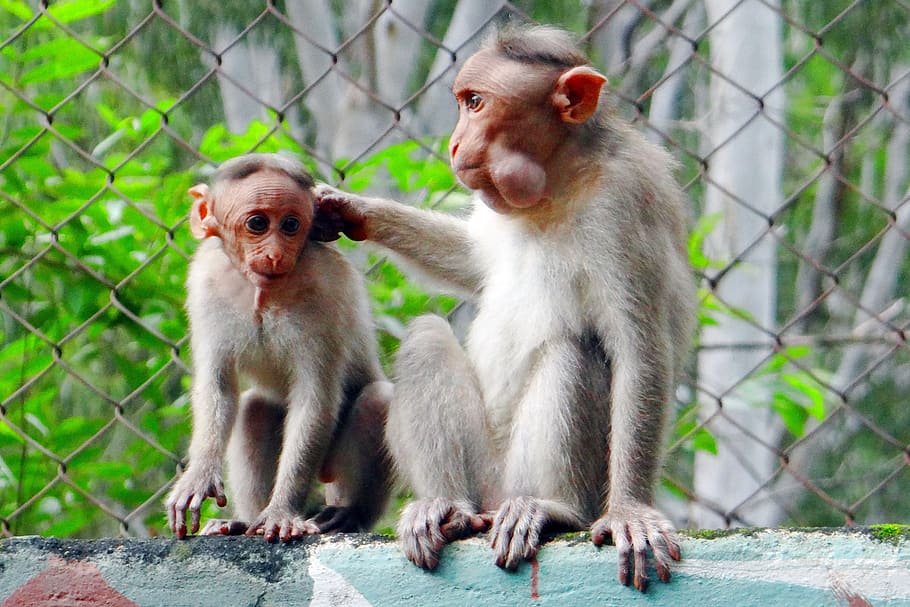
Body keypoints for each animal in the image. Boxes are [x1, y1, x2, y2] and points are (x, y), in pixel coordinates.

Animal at [165, 153, 391, 543]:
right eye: (257, 223)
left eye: (290, 225)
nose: (274, 254)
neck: (262, 291)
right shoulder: (205, 280)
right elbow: (218, 385)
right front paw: (198, 477)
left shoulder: (324, 288)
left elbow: (314, 398)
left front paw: (281, 512)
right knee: (254, 409)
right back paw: (243, 522)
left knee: (376, 399)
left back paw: (348, 514)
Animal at [314, 25, 696, 592]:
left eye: (476, 103)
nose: (455, 142)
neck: (559, 181)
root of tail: (495, 500)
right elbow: (471, 259)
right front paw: (350, 209)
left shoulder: (626, 205)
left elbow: (639, 352)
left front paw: (630, 511)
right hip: (483, 474)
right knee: (426, 338)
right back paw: (445, 507)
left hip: (528, 476)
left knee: (575, 351)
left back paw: (554, 509)